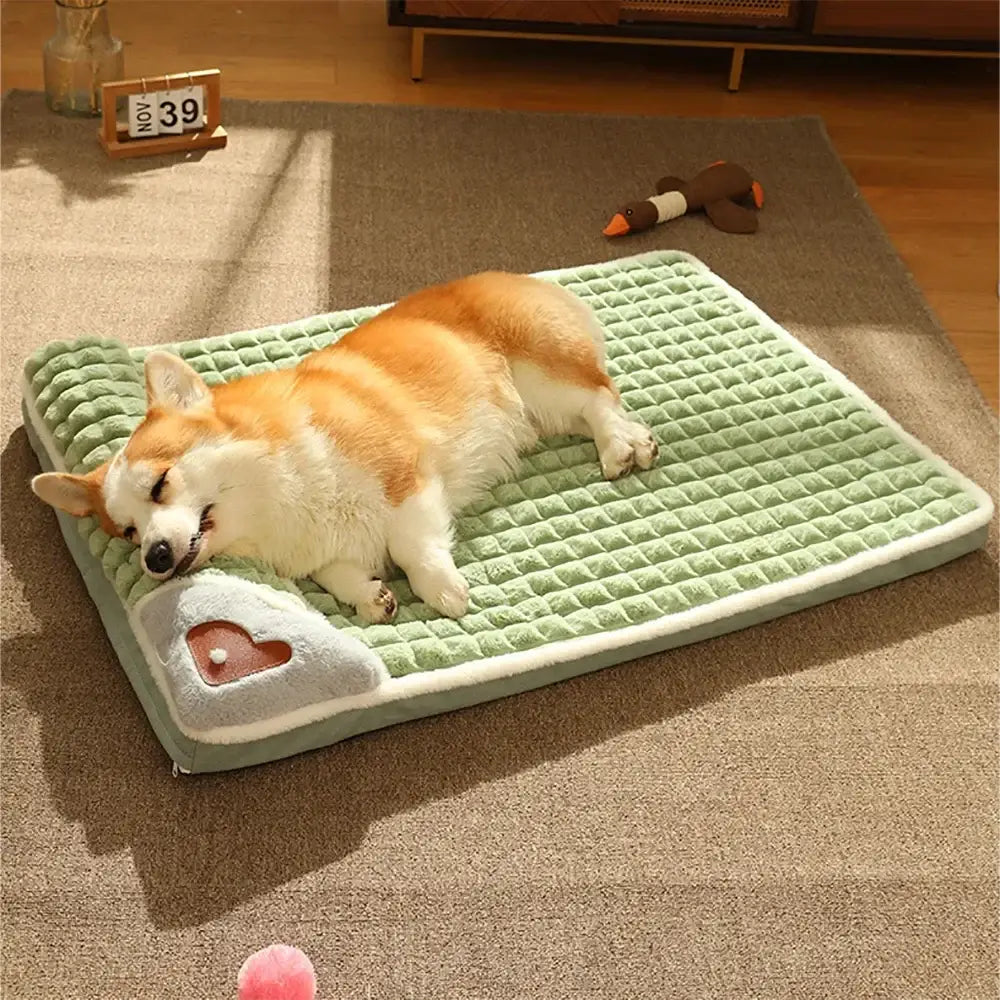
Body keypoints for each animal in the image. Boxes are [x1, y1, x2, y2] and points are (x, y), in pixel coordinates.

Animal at [29, 270, 656, 620]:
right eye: (127, 534)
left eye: (160, 484)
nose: (155, 558)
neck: (271, 499)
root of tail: (524, 277)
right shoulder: (323, 552)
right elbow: (338, 572)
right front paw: (369, 596)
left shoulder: (408, 478)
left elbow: (411, 545)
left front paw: (443, 590)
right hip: (540, 409)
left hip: (539, 375)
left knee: (600, 396)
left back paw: (622, 446)